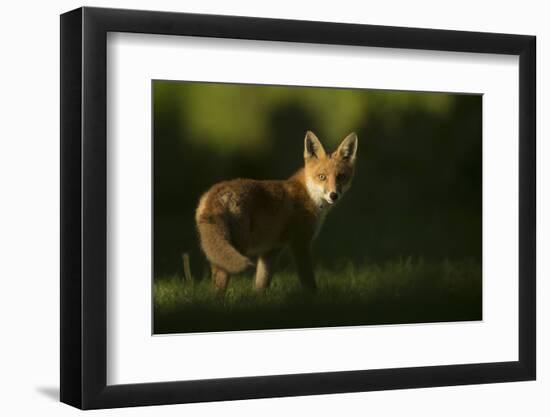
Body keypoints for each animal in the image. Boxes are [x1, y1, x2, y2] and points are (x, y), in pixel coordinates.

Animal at [196, 130, 360, 292]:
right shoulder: (300, 244)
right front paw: (313, 296)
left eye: (341, 177)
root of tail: (214, 194)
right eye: (322, 177)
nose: (334, 195)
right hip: (238, 246)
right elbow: (308, 282)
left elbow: (261, 284)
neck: (308, 193)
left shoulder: (271, 250)